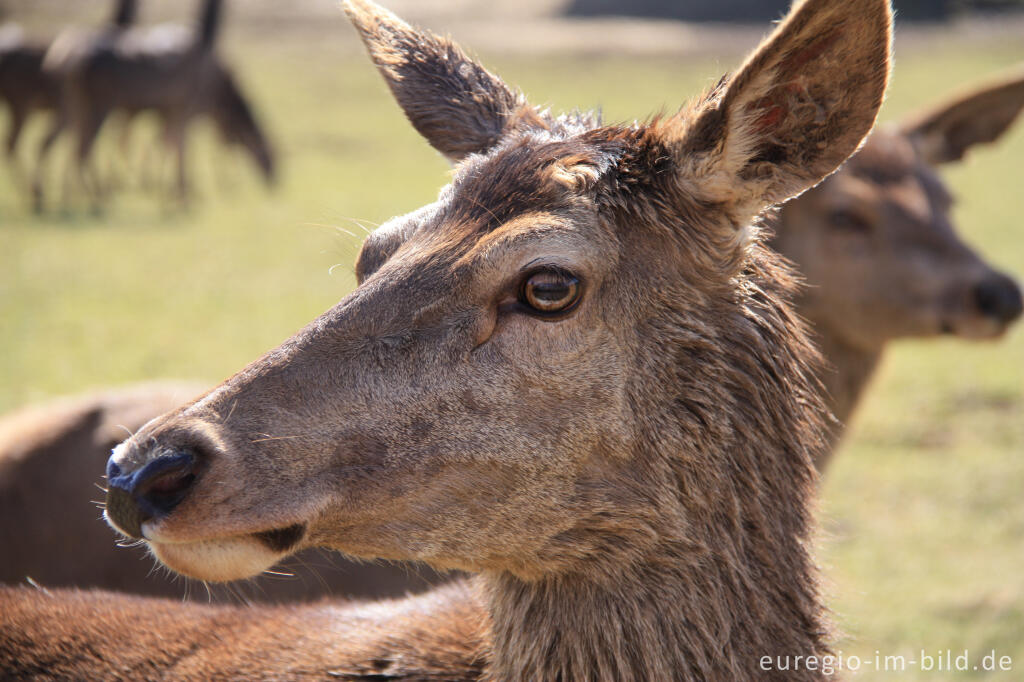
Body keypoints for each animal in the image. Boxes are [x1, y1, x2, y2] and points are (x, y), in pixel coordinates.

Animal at [33, 0, 274, 209]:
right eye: (270, 156)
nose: (274, 180)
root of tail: (61, 61)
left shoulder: (174, 112)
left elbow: (170, 147)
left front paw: (173, 194)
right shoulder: (185, 109)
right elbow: (178, 149)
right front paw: (180, 197)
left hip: (77, 107)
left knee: (60, 145)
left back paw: (61, 197)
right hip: (97, 106)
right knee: (80, 149)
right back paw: (94, 198)